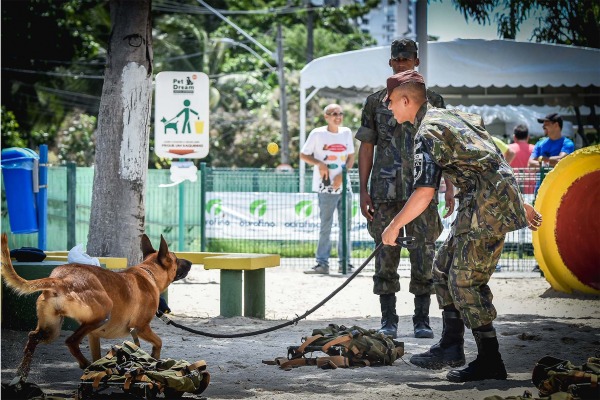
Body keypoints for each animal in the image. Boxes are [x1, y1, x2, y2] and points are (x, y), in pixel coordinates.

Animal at [0, 233, 191, 380]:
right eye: (176, 259)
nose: (190, 262)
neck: (148, 272)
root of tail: (62, 279)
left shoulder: (94, 336)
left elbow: (98, 356)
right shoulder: (141, 328)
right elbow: (158, 342)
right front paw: (154, 358)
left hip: (51, 329)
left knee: (33, 337)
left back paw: (21, 375)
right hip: (103, 313)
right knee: (71, 341)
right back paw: (84, 363)